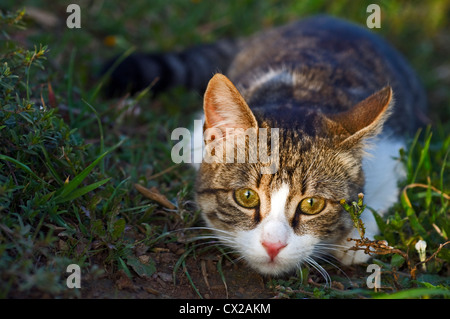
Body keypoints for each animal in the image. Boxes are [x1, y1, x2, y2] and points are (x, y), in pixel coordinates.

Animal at [104, 15, 426, 276]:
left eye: (312, 204)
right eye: (246, 197)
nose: (273, 245)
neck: (302, 96)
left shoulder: (392, 153)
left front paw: (356, 239)